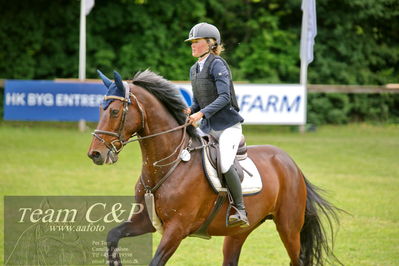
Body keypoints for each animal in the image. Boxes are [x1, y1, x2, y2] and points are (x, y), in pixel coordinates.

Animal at [86, 69, 340, 264]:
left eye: (115, 111)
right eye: (100, 109)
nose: (95, 154)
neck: (169, 165)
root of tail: (290, 163)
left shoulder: (177, 229)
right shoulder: (145, 222)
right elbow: (113, 235)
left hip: (288, 227)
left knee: (296, 259)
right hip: (239, 232)